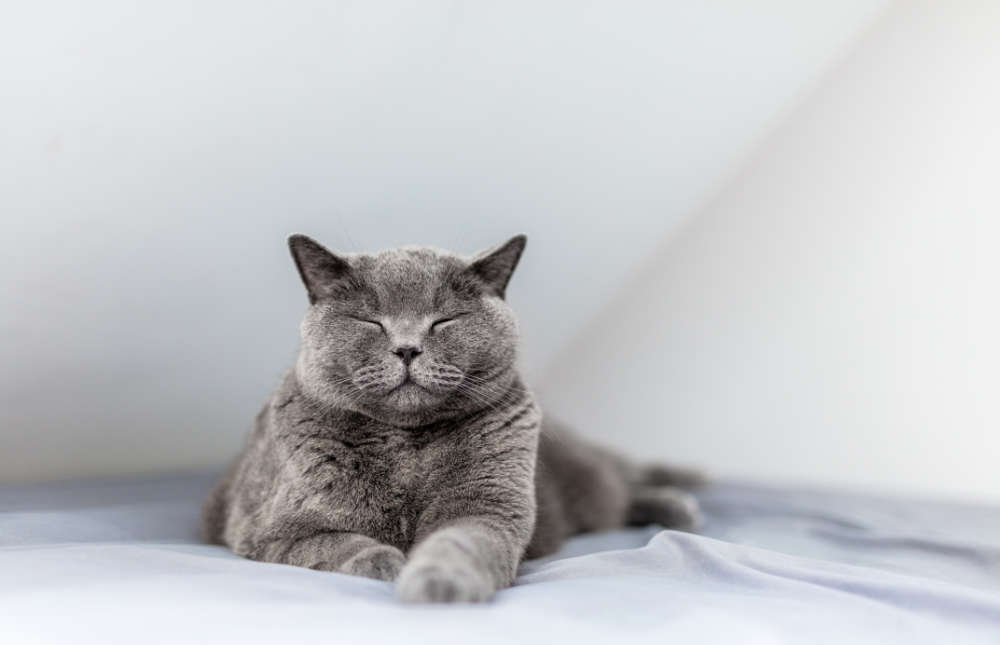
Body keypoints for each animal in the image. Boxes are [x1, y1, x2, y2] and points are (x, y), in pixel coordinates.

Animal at [203, 235, 704, 604]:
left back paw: (684, 497)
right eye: (370, 322)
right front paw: (389, 563)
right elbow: (340, 545)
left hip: (586, 476)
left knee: (623, 479)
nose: (407, 348)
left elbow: (457, 543)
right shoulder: (273, 533)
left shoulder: (487, 507)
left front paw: (436, 582)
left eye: (445, 320)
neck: (405, 444)